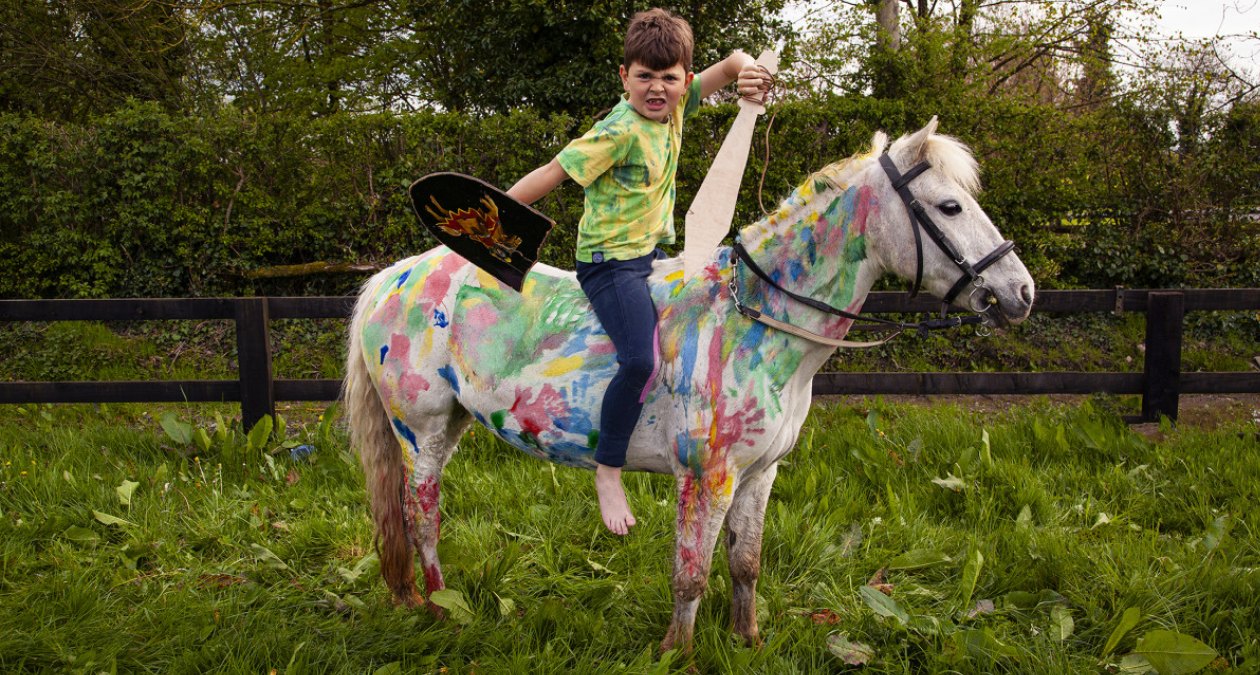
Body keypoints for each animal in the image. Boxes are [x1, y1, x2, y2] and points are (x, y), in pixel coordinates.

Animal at [343, 117, 1036, 651]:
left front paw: (747, 640)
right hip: (422, 431)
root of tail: (392, 277)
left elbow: (745, 564)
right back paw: (440, 609)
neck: (756, 320)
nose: (1020, 292)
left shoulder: (759, 475)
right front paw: (677, 652)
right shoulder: (708, 478)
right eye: (950, 206)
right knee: (421, 519)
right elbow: (692, 574)